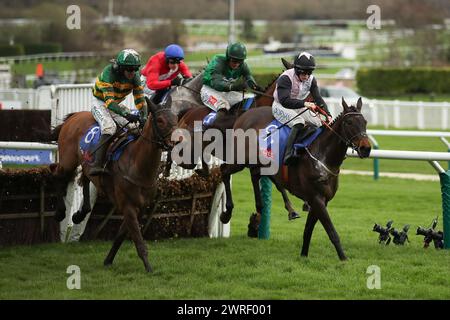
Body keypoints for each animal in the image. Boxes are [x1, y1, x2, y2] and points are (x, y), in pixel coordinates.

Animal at [51, 97, 178, 270]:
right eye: (160, 120)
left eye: (176, 118)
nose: (178, 140)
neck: (136, 164)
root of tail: (74, 116)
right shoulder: (127, 205)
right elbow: (137, 239)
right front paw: (148, 268)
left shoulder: (140, 208)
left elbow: (121, 235)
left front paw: (108, 260)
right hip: (68, 159)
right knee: (58, 175)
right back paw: (60, 212)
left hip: (86, 161)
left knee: (85, 177)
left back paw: (80, 214)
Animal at [220, 97, 370, 260]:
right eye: (349, 122)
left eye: (365, 122)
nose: (366, 148)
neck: (321, 157)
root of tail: (245, 114)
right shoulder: (316, 199)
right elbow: (331, 231)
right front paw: (343, 258)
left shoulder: (321, 201)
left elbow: (308, 230)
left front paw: (304, 255)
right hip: (239, 160)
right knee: (224, 171)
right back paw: (227, 213)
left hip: (262, 163)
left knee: (256, 176)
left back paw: (265, 211)